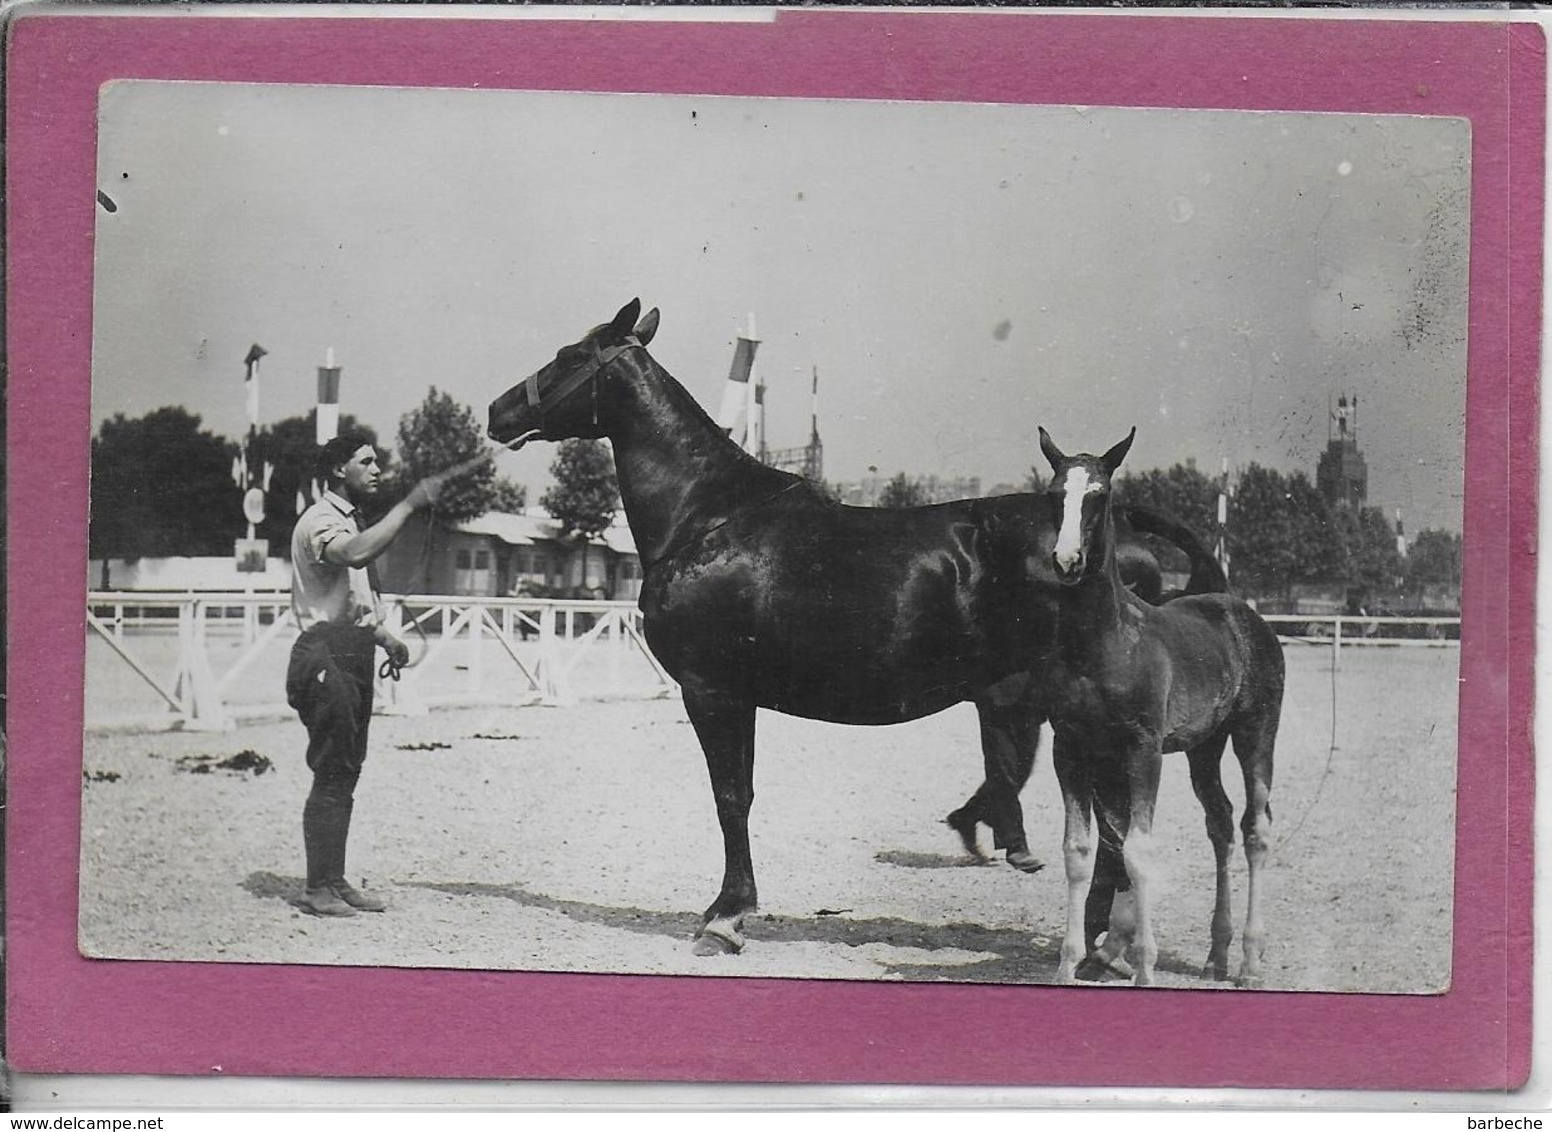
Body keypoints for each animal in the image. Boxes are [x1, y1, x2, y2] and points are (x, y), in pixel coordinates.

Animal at [484, 299, 1222, 956]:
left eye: (568, 357)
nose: (498, 410)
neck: (709, 515)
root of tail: (1103, 545)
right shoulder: (733, 695)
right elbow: (740, 794)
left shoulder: (712, 690)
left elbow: (730, 797)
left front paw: (726, 917)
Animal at [1036, 428, 1278, 987]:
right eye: (1055, 494)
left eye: (1099, 494)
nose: (1067, 561)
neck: (1102, 644)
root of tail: (1239, 610)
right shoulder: (1072, 751)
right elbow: (1082, 851)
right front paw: (1069, 965)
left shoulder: (1141, 751)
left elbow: (1137, 851)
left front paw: (1144, 966)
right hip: (1204, 748)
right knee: (1220, 822)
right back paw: (1216, 955)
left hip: (1256, 733)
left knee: (1255, 829)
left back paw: (1251, 962)